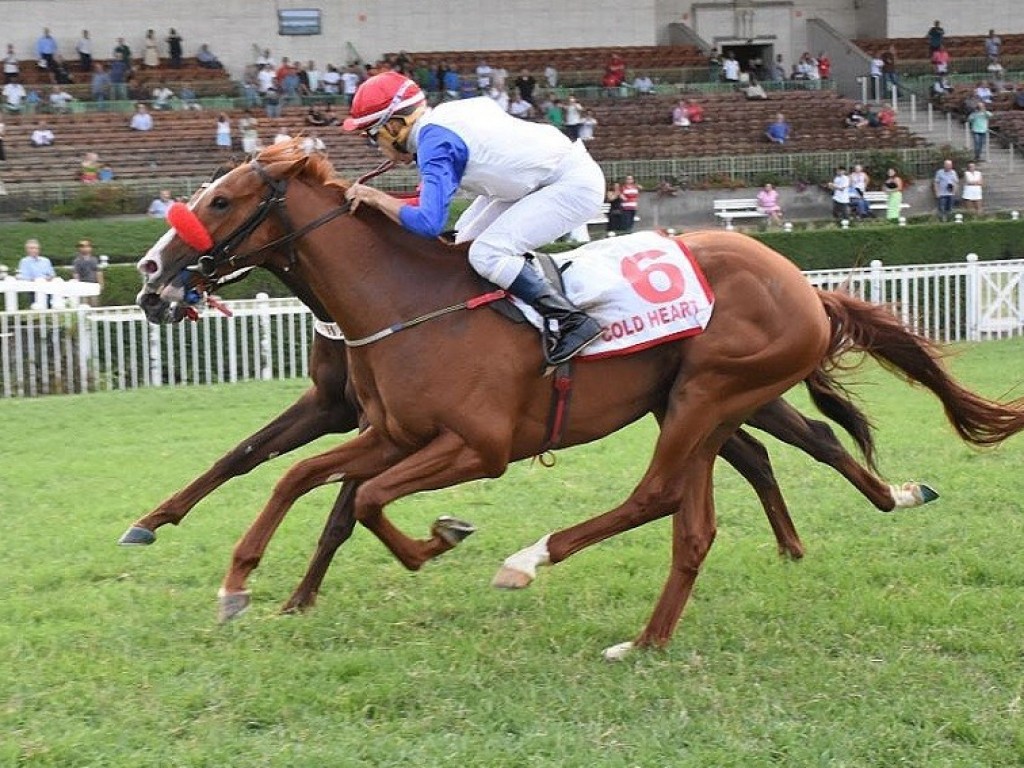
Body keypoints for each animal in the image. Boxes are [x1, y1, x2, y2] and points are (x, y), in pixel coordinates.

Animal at [136, 144, 1024, 663]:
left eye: (220, 201)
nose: (148, 277)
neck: (409, 301)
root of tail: (804, 284)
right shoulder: (384, 429)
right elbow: (299, 477)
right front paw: (241, 583)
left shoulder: (476, 447)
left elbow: (364, 498)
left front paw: (439, 539)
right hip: (698, 405)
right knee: (714, 504)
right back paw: (655, 636)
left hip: (712, 392)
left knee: (673, 491)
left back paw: (531, 562)